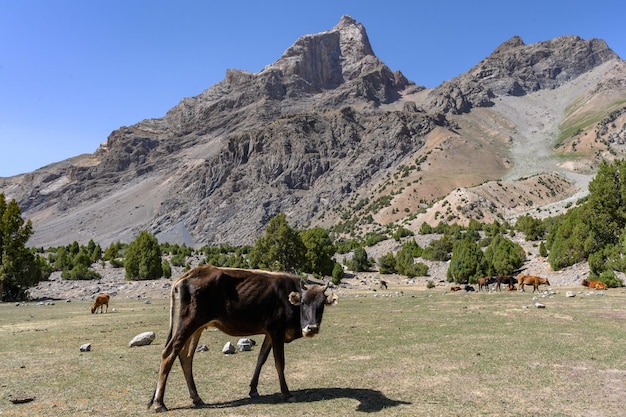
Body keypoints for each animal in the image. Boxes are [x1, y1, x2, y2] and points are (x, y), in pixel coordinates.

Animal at [147, 264, 336, 412]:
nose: (311, 328)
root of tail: (191, 273)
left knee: (186, 356)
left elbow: (261, 358)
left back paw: (196, 398)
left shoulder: (269, 333)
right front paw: (287, 394)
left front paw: (253, 389)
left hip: (197, 327)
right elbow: (279, 362)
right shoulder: (276, 331)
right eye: (303, 302)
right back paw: (159, 403)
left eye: (321, 305)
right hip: (188, 323)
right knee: (169, 353)